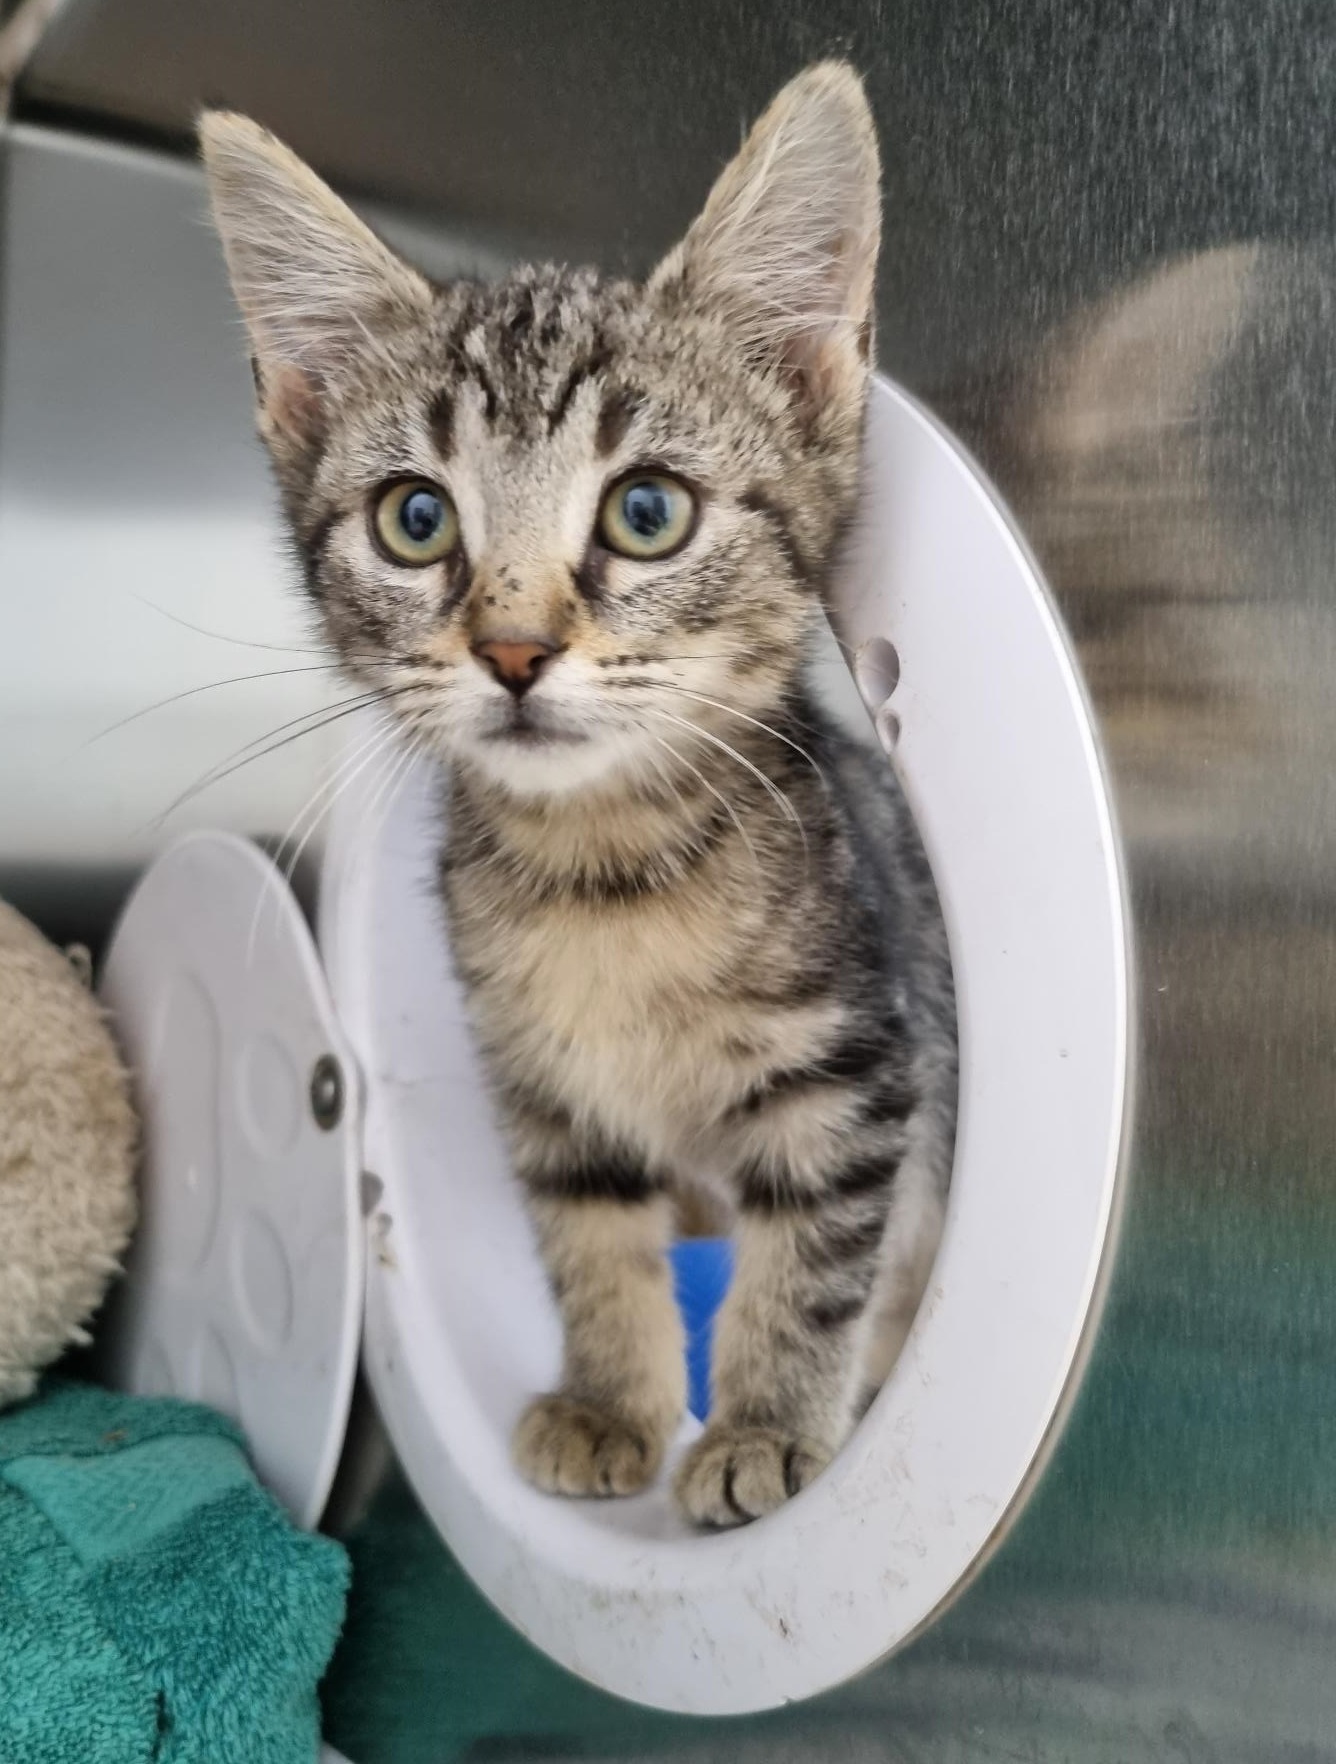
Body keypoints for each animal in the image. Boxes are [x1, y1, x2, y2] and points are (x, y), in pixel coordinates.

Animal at [200, 62, 956, 1527]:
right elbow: (591, 1243)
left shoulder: (850, 1068)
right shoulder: (546, 1091)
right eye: (416, 520)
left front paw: (765, 1423)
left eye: (646, 511)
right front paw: (612, 1402)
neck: (606, 874)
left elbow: (810, 1261)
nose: (511, 651)